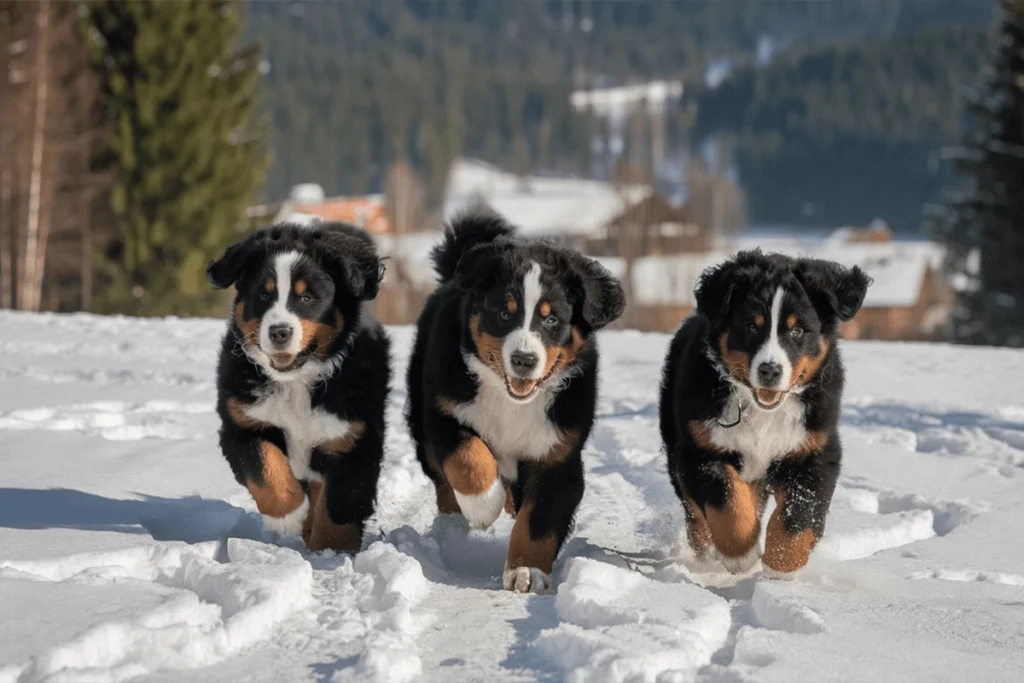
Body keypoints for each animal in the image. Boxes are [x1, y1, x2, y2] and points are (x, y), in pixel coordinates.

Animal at [205, 222, 389, 552]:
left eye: (307, 299)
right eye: (264, 295)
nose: (279, 332)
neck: (296, 383)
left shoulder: (351, 437)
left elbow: (339, 503)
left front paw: (330, 551)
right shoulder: (242, 422)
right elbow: (265, 468)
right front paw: (287, 517)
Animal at [407, 211, 622, 593]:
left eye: (551, 319)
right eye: (505, 314)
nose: (524, 359)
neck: (513, 402)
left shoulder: (558, 453)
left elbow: (539, 519)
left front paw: (526, 571)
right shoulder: (444, 411)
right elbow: (468, 458)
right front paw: (483, 506)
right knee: (443, 481)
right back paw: (456, 525)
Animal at [659, 248, 868, 573]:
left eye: (797, 330)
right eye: (751, 326)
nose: (770, 370)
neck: (763, 412)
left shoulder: (814, 450)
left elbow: (800, 514)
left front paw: (780, 563)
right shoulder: (700, 449)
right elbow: (727, 499)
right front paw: (741, 553)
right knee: (695, 513)